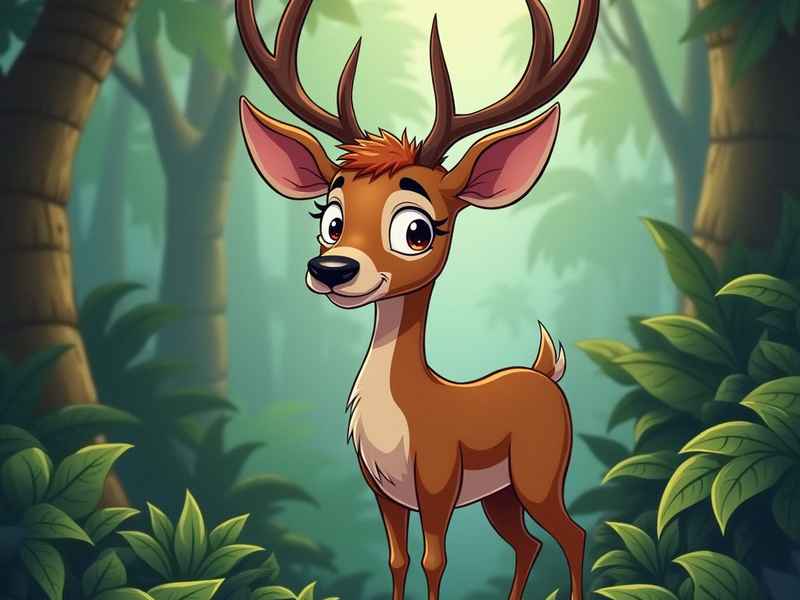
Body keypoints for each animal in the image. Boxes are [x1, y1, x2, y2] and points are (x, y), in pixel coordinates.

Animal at [235, 1, 598, 598]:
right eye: (329, 218)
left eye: (417, 229)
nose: (331, 269)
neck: (402, 419)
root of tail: (545, 374)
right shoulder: (382, 491)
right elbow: (398, 560)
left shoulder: (438, 484)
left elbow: (434, 561)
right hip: (500, 495)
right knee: (529, 543)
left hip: (539, 476)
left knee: (572, 534)